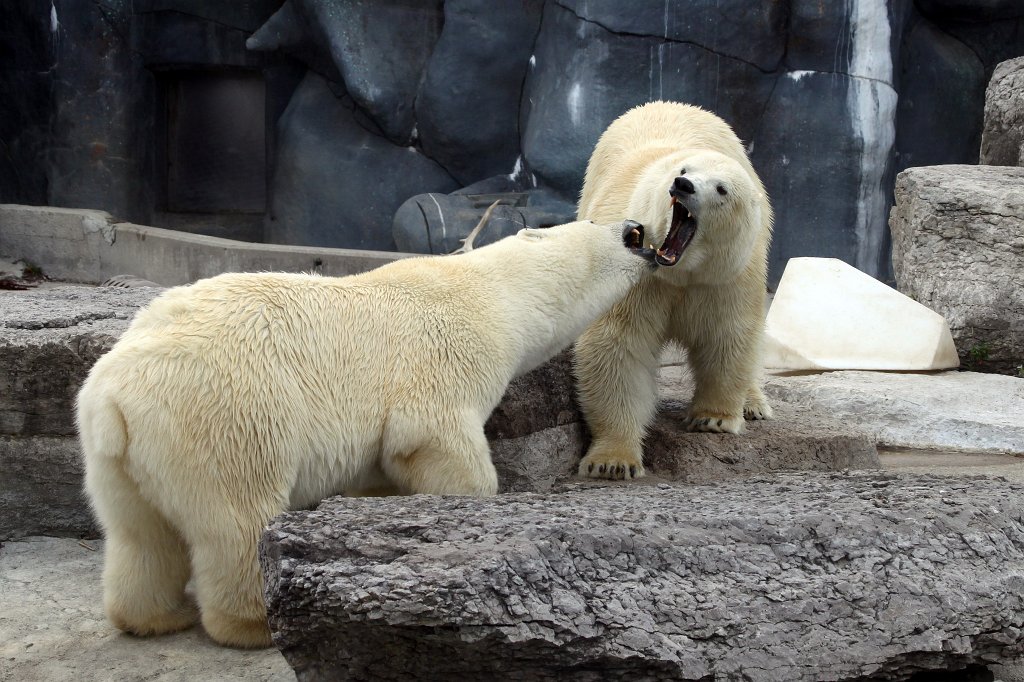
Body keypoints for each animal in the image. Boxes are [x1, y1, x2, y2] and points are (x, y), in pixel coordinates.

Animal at [76, 218, 659, 649]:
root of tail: (114, 397)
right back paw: (257, 623)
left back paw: (154, 617)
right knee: (239, 523)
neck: (492, 290)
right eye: (604, 224)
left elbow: (376, 472)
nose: (634, 227)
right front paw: (468, 501)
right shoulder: (447, 352)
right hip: (227, 415)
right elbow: (433, 437)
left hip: (117, 455)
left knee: (139, 535)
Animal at [573, 101, 773, 481]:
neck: (680, 271)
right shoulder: (634, 270)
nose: (683, 185)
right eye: (684, 170)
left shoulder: (727, 275)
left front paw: (713, 418)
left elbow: (727, 334)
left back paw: (754, 403)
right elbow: (617, 344)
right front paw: (612, 461)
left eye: (722, 189)